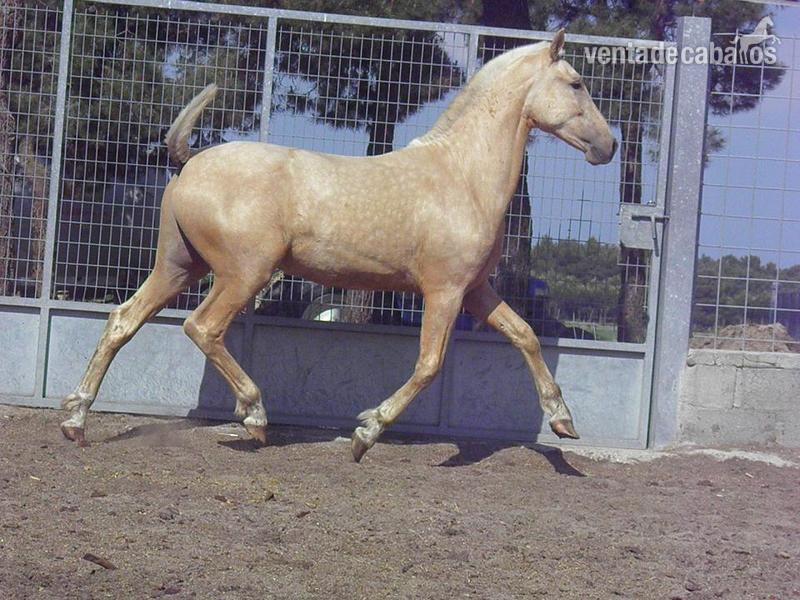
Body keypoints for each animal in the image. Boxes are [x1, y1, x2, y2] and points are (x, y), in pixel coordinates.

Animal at [60, 30, 617, 461]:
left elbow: (525, 335)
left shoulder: (476, 291)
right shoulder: (444, 291)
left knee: (123, 321)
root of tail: (191, 162)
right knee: (203, 328)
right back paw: (255, 416)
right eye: (575, 83)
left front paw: (563, 420)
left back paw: (76, 421)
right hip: (243, 274)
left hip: (180, 267)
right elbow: (429, 364)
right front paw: (365, 433)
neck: (460, 176)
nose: (608, 147)